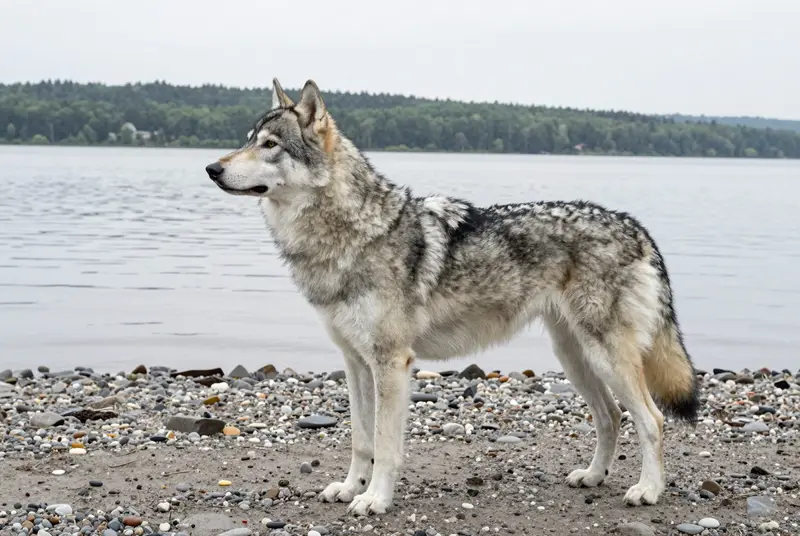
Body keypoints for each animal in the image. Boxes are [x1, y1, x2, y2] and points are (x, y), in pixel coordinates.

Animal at [204, 78, 700, 516]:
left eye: (270, 144)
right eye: (247, 141)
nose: (212, 169)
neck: (351, 235)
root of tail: (635, 226)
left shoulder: (391, 363)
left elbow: (385, 445)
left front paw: (375, 500)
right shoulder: (355, 363)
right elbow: (361, 439)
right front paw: (349, 488)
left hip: (606, 358)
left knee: (651, 420)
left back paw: (647, 490)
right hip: (575, 357)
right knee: (610, 417)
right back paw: (593, 476)